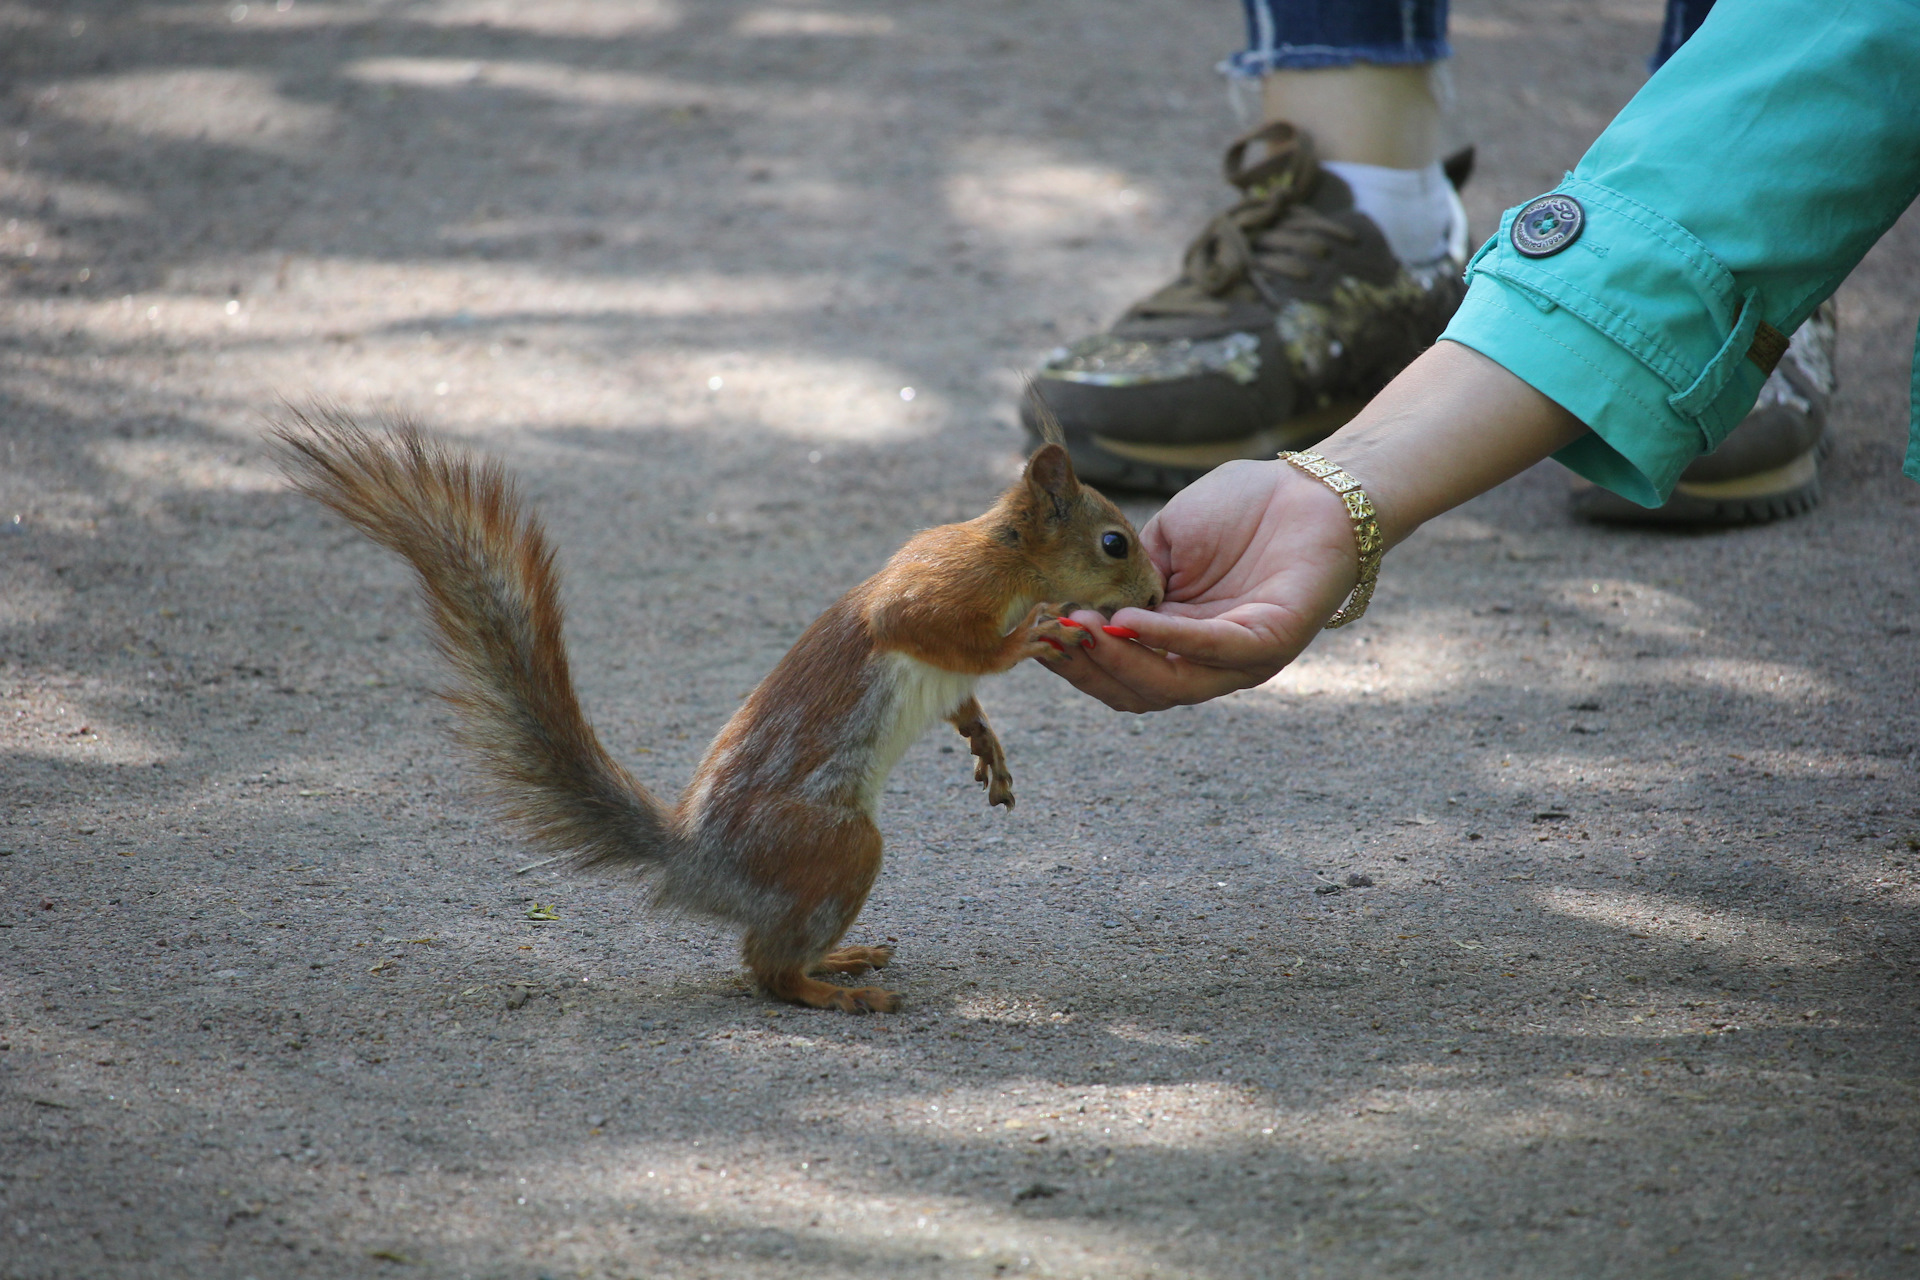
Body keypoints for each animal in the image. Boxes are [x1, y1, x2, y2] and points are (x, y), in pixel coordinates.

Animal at [276, 408, 1159, 1013]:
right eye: (1114, 542)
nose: (1154, 597)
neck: (1008, 555)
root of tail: (696, 859)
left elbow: (964, 698)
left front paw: (986, 744)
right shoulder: (940, 589)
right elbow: (940, 635)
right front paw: (1033, 634)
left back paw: (840, 961)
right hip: (830, 846)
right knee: (765, 970)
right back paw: (834, 990)